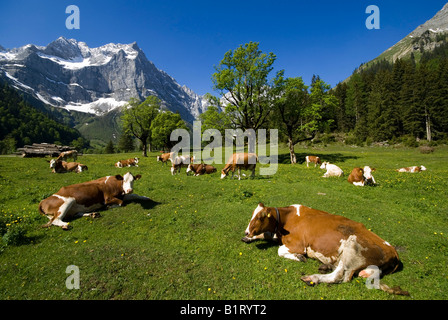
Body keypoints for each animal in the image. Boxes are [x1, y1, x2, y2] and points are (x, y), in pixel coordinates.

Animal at [243, 204, 408, 296]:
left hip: (352, 248)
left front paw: (299, 257)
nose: (246, 232)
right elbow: (266, 234)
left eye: (260, 217)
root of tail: (393, 251)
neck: (286, 219)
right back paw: (326, 266)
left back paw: (313, 277)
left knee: (340, 276)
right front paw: (248, 238)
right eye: (251, 215)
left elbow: (280, 251)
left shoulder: (298, 244)